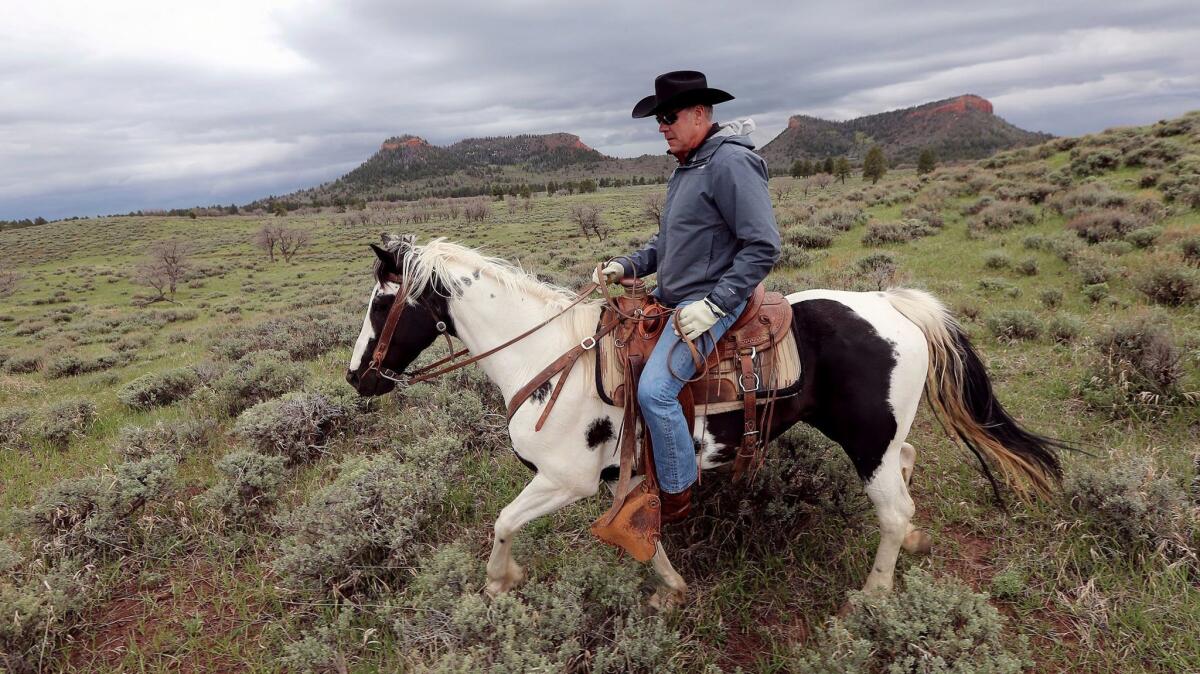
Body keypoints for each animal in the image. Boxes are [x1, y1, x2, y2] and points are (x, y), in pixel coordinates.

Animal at [343, 236, 1065, 609]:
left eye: (381, 301)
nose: (356, 378)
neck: (550, 358)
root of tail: (892, 303)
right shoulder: (616, 479)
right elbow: (644, 535)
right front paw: (670, 587)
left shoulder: (563, 480)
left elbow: (501, 522)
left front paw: (500, 582)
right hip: (882, 440)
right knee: (908, 474)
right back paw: (913, 546)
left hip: (867, 444)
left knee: (892, 511)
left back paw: (875, 593)